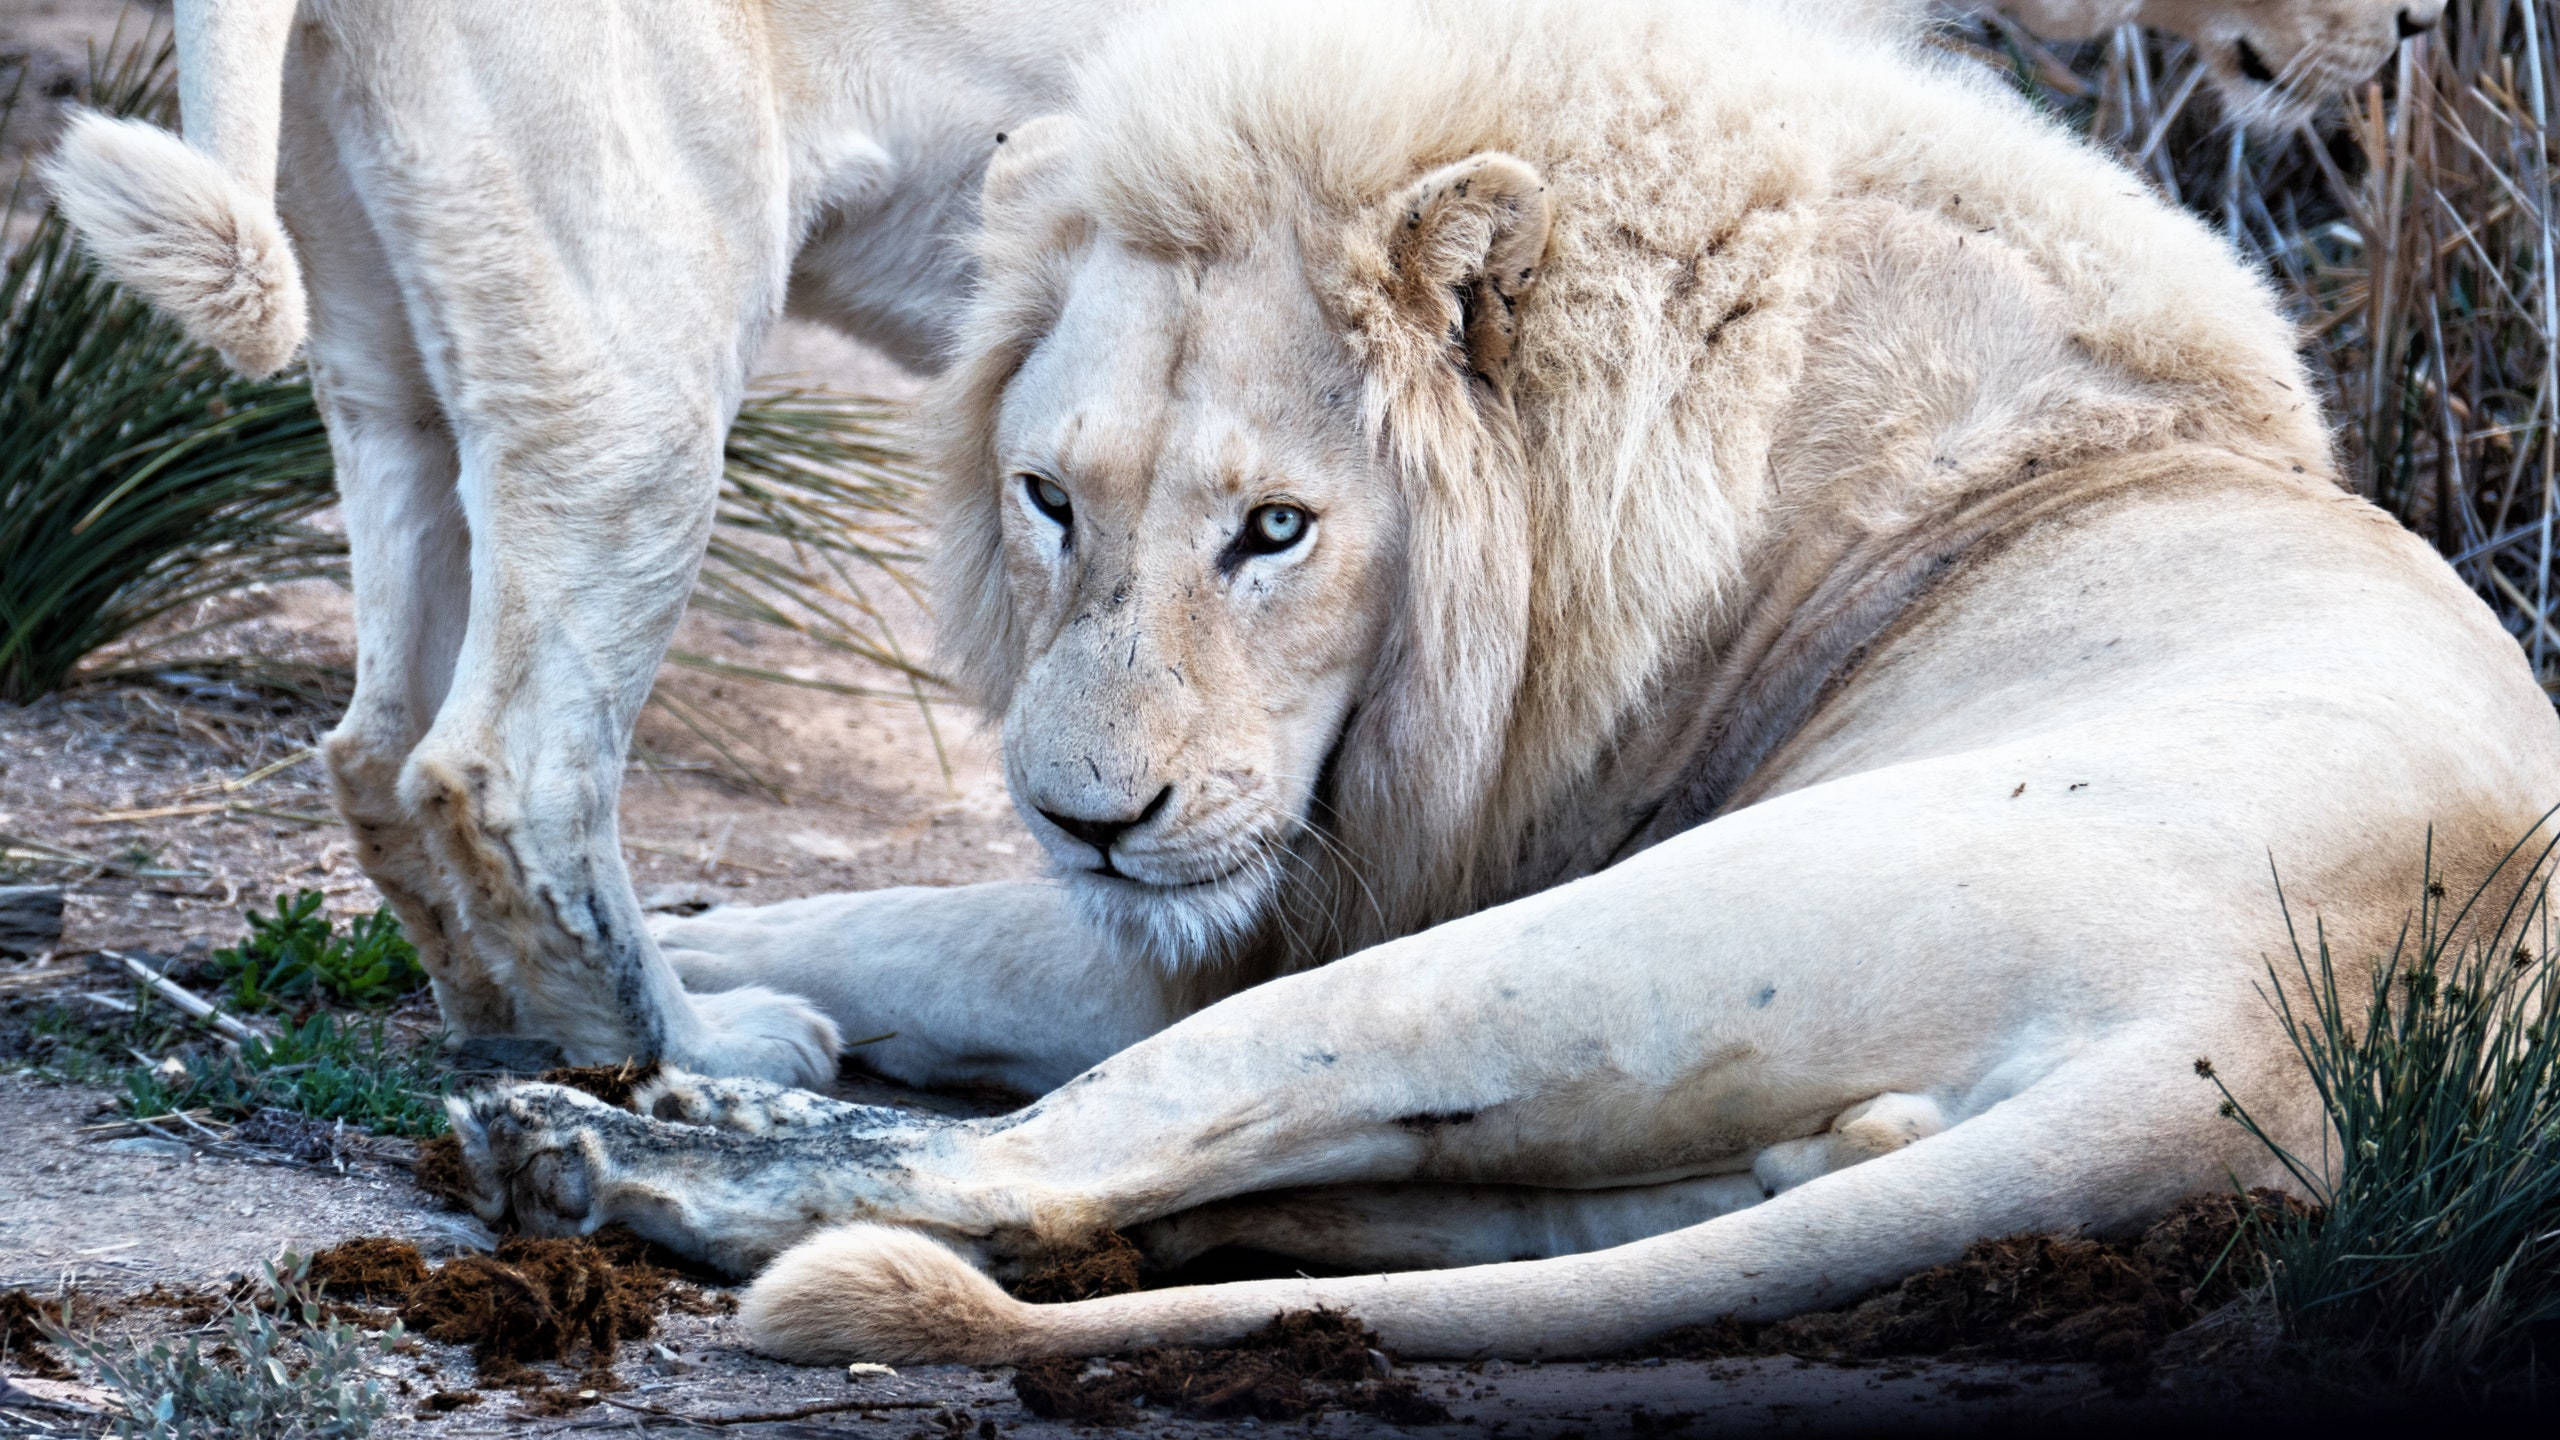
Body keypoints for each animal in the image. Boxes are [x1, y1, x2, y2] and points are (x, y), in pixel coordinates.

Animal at [430, 0, 2560, 1365]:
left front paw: (683, 979)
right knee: (1190, 1207)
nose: (1086, 817)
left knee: (1057, 1163)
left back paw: (606, 1146)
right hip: (1607, 1163)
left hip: (1574, 940)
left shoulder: (1283, 895)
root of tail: (2276, 1032)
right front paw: (680, 951)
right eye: (1048, 497)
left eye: (1274, 532)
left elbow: (908, 922)